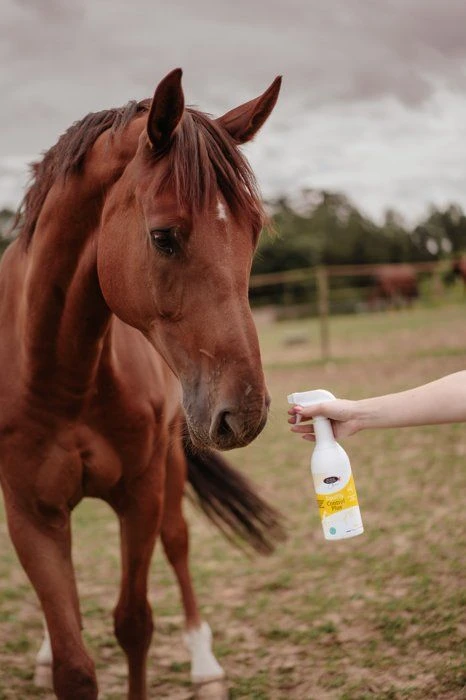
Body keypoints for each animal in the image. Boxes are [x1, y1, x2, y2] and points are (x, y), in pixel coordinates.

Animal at [0, 68, 285, 699]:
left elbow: (134, 623)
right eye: (163, 237)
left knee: (177, 541)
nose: (246, 412)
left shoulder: (141, 492)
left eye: (254, 232)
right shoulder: (31, 512)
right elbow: (74, 663)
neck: (61, 375)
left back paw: (204, 662)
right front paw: (54, 652)